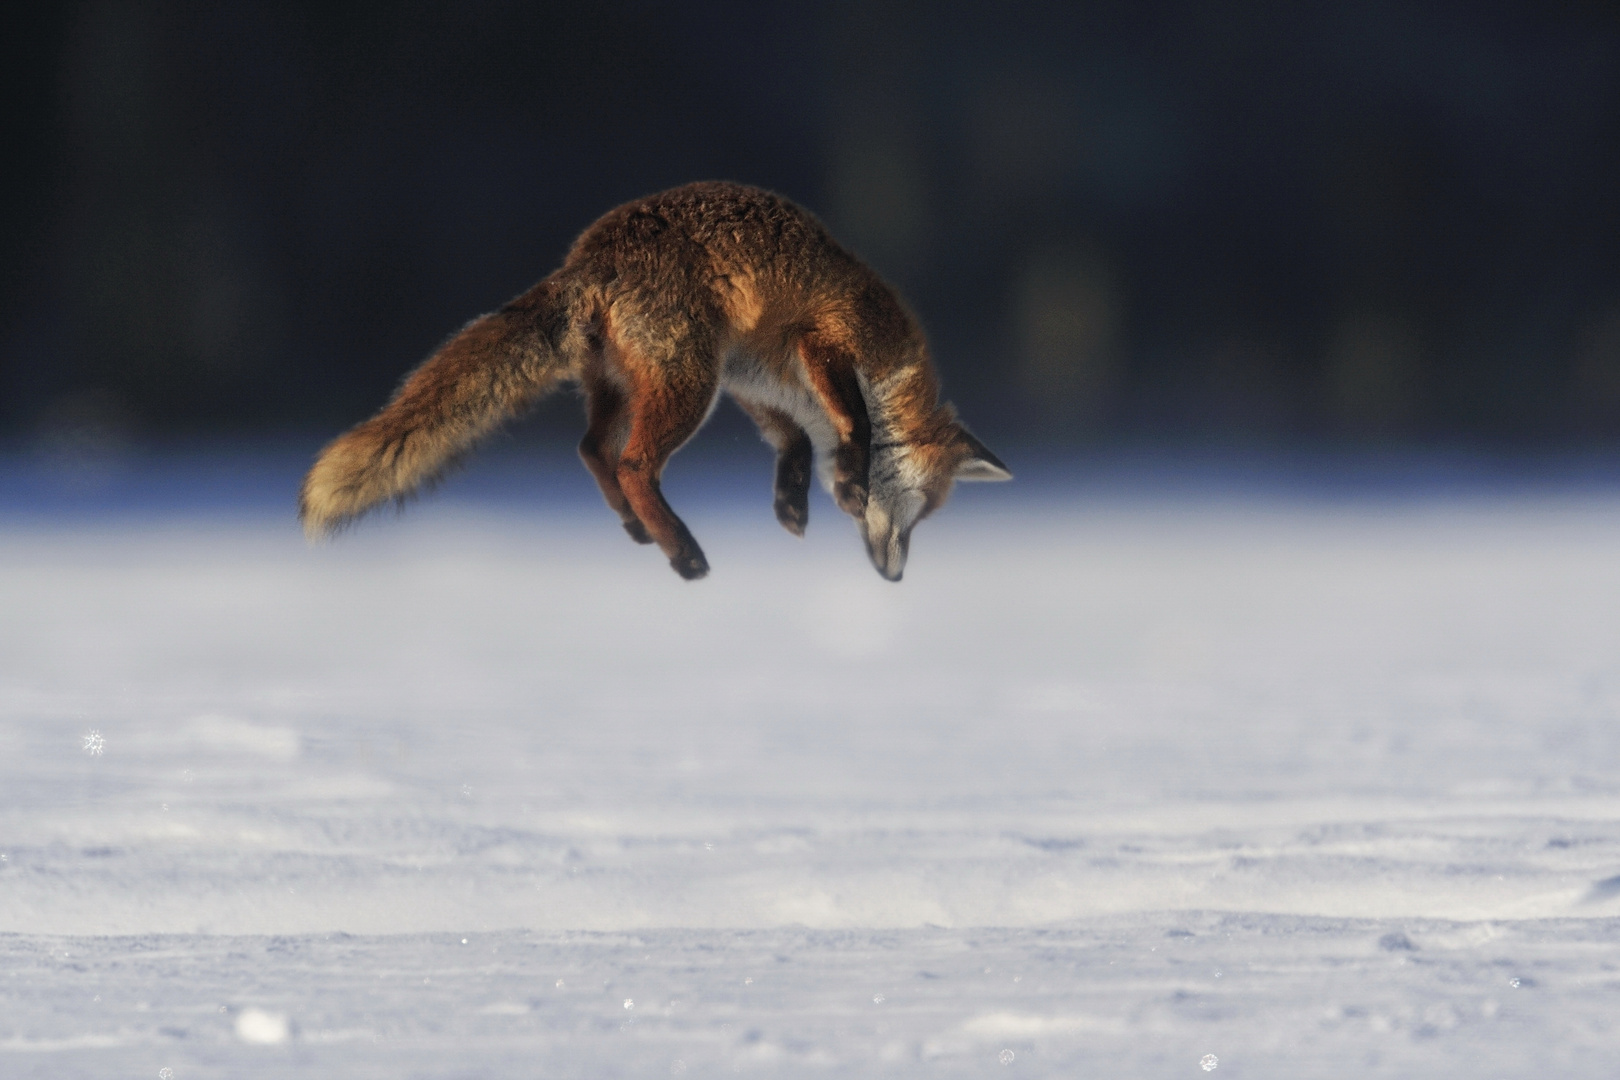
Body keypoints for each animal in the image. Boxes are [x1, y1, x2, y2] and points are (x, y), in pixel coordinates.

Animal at [299, 181, 1004, 582]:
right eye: (922, 514)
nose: (897, 579)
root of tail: (590, 257)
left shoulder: (756, 383)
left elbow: (796, 443)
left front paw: (793, 505)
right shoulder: (823, 341)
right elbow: (852, 420)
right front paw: (852, 481)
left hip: (636, 385)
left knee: (592, 449)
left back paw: (638, 527)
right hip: (688, 386)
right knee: (634, 463)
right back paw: (684, 554)